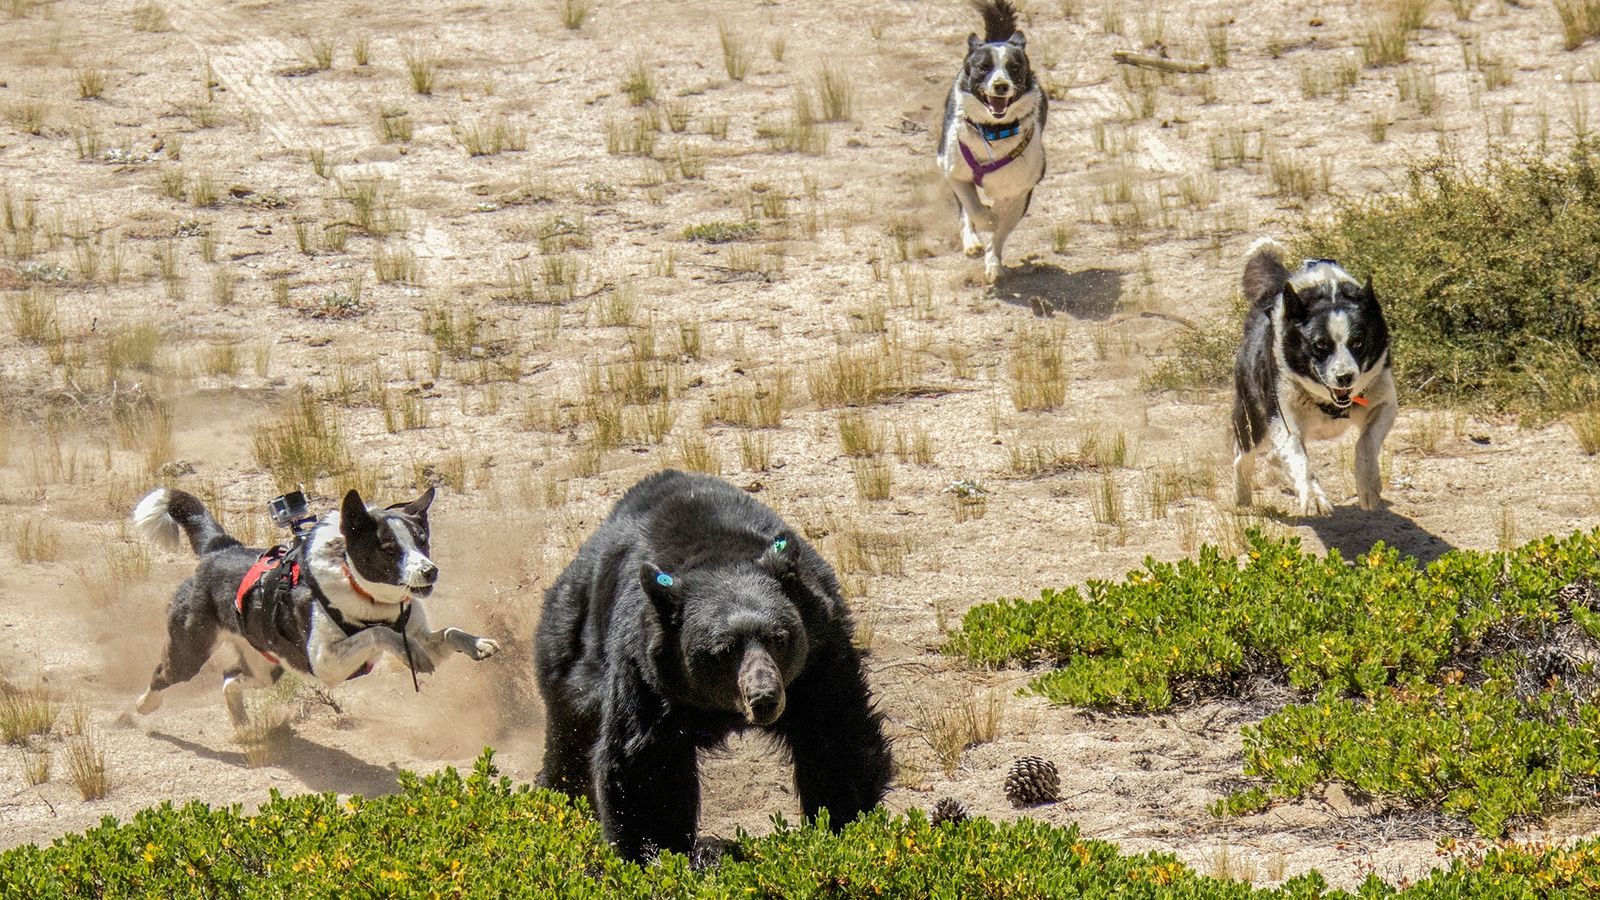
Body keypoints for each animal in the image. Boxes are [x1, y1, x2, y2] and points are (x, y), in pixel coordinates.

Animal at [128, 483, 496, 720]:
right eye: (389, 548)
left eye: (422, 541)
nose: (430, 571)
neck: (371, 599)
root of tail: (220, 549)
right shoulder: (326, 663)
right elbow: (377, 633)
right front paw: (410, 653)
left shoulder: (418, 635)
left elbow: (447, 632)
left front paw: (478, 643)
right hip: (189, 652)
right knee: (162, 675)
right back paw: (140, 708)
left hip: (266, 668)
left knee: (230, 679)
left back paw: (242, 723)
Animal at [534, 464, 889, 858]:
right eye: (723, 650)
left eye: (779, 638)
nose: (764, 698)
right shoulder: (647, 674)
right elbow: (645, 766)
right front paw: (658, 851)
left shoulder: (818, 658)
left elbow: (836, 736)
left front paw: (843, 825)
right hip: (571, 646)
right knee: (569, 730)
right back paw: (556, 798)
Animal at [934, 0, 1049, 281]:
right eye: (983, 67)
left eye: (1014, 67)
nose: (1000, 86)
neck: (994, 132)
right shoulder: (953, 172)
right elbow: (975, 210)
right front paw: (986, 223)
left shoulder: (1019, 191)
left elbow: (1002, 230)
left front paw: (993, 262)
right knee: (966, 212)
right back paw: (973, 243)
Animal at [1228, 238, 1395, 515]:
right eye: (1320, 345)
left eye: (1358, 342)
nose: (1345, 377)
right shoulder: (1284, 420)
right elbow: (1300, 459)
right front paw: (1315, 499)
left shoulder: (1384, 403)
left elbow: (1366, 442)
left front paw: (1369, 487)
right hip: (1254, 421)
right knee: (1243, 457)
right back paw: (1242, 500)